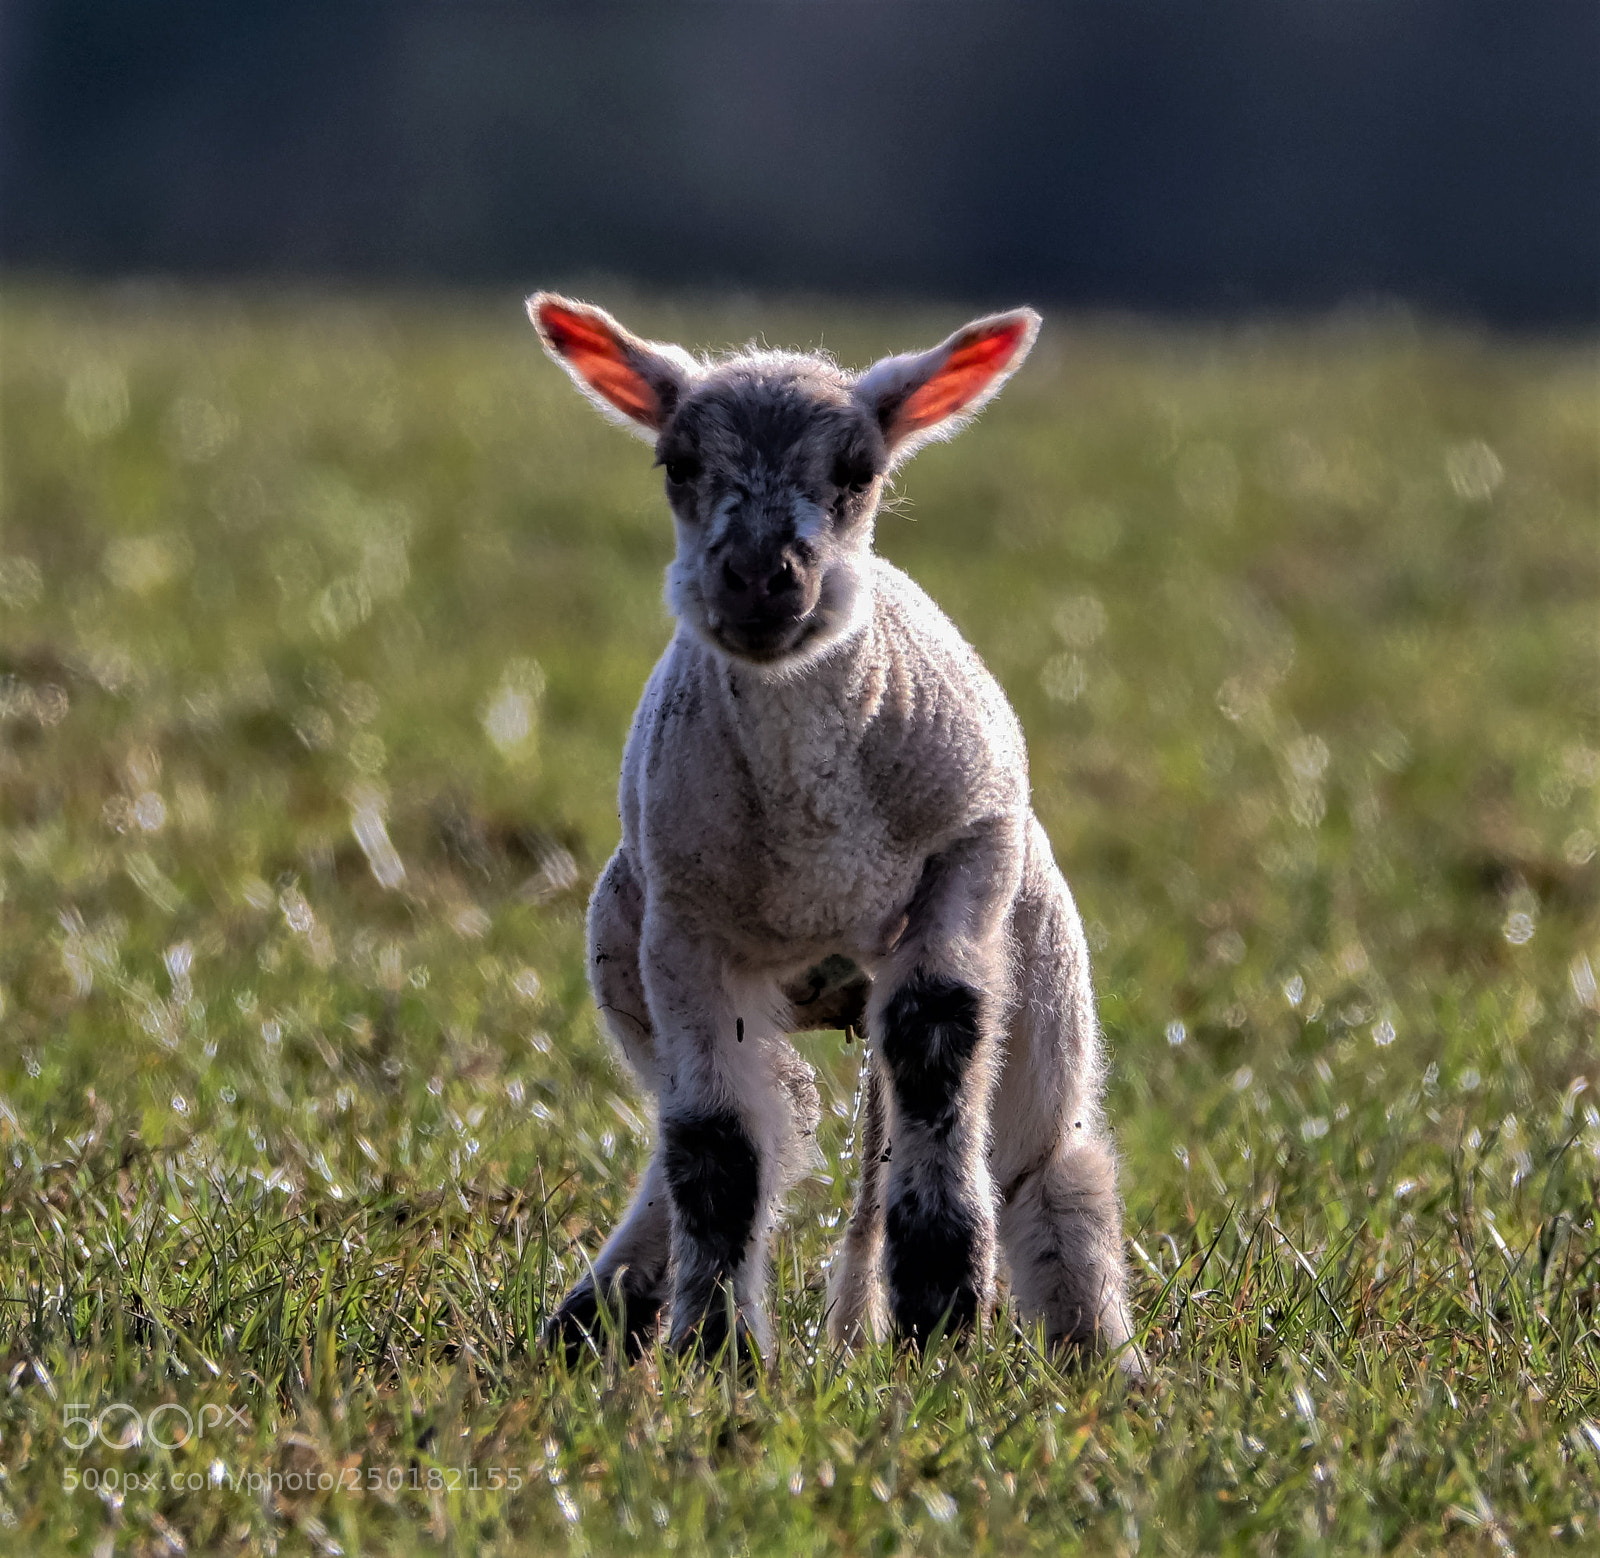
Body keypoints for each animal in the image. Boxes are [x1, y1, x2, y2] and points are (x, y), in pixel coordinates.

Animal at [528, 293, 1141, 1374]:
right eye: (675, 464)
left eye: (859, 474)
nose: (759, 577)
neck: (815, 838)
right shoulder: (682, 927)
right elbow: (718, 1150)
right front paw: (717, 1355)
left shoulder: (968, 850)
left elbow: (935, 1039)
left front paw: (940, 1296)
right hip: (618, 945)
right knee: (757, 1124)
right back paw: (598, 1316)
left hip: (1041, 951)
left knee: (1046, 1160)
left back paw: (1100, 1364)